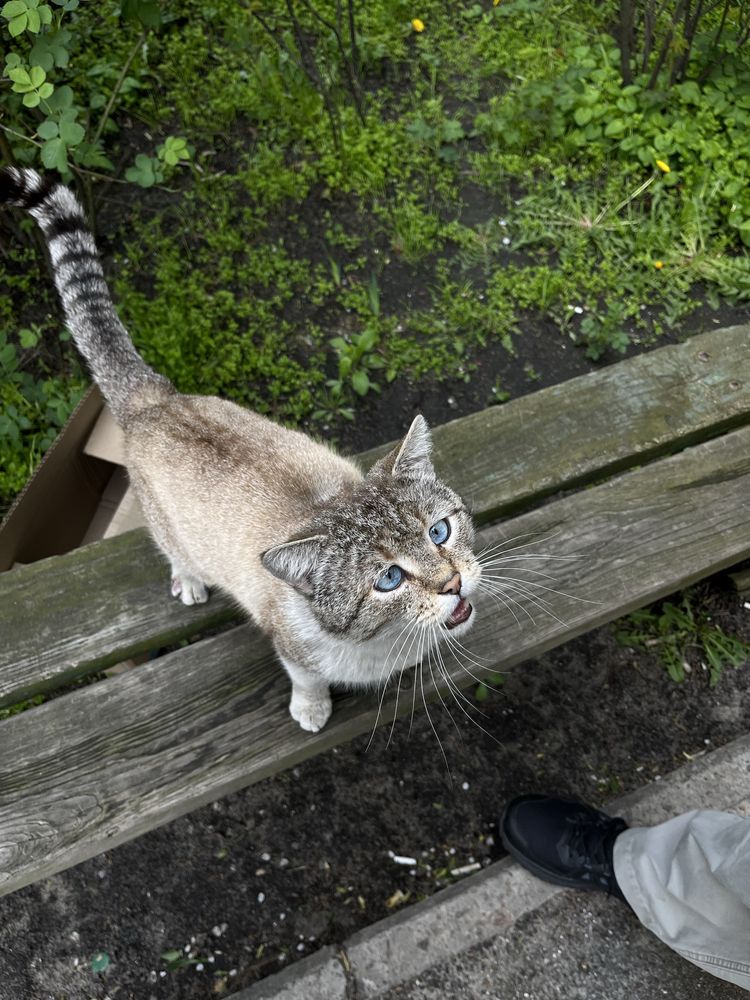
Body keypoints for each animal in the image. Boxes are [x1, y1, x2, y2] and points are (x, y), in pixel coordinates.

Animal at [2, 168, 484, 736]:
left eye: (439, 532)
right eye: (389, 579)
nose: (453, 583)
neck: (380, 646)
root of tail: (156, 397)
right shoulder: (294, 651)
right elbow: (306, 679)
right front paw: (312, 711)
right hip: (170, 531)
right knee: (175, 554)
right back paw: (190, 583)